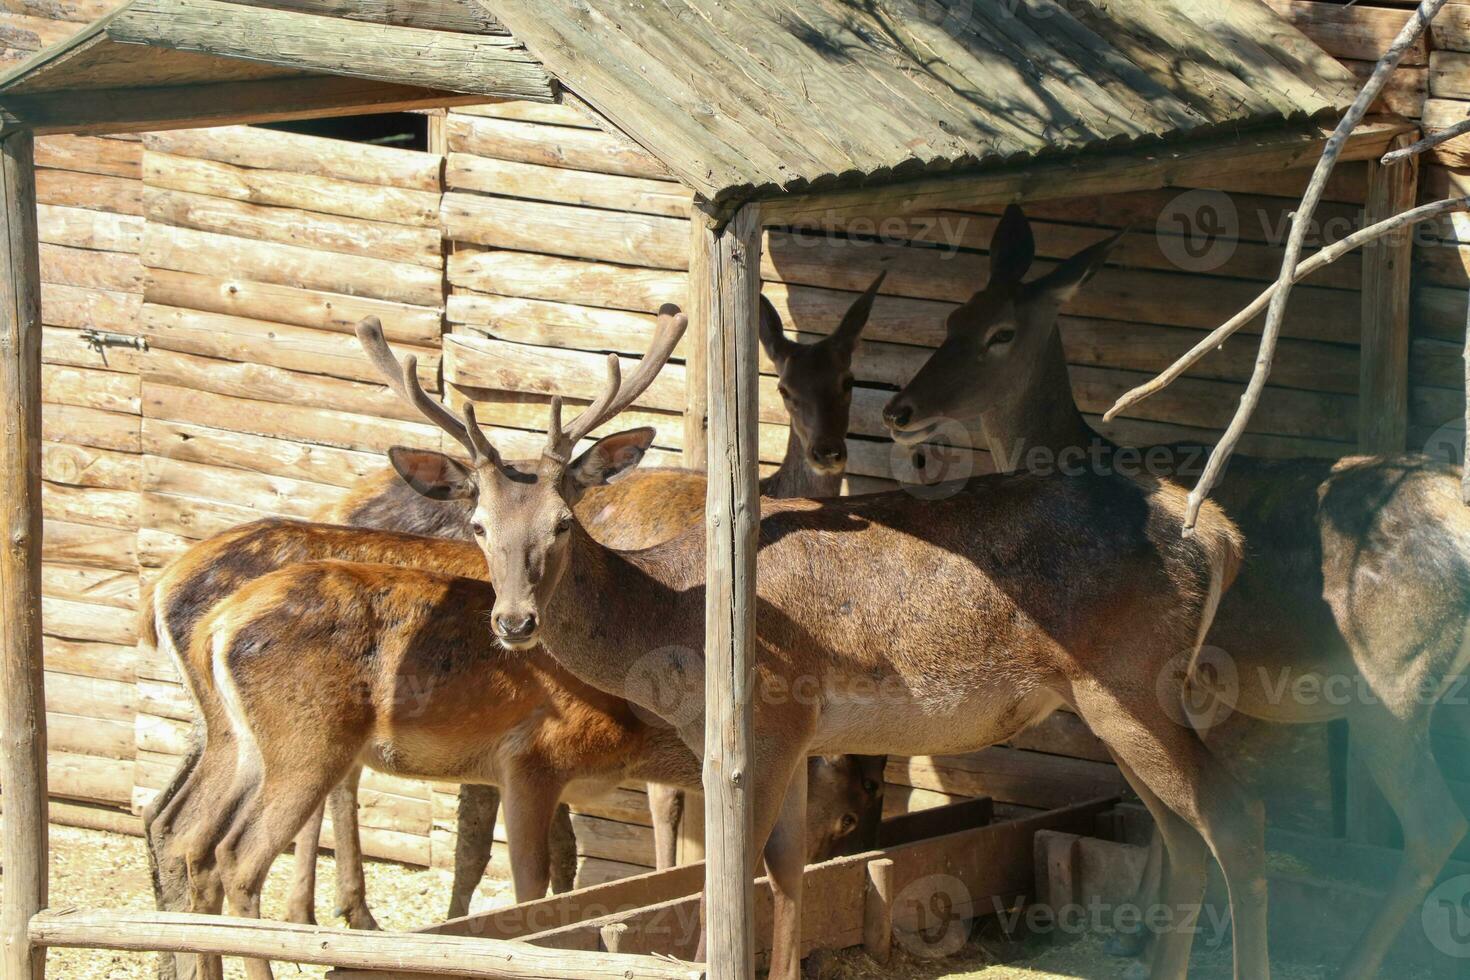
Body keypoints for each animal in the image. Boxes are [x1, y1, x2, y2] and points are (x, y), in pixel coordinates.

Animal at [283, 274, 882, 928]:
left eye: (850, 381)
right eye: (784, 388)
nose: (831, 451)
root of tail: (336, 502)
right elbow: (667, 802)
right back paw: (320, 910)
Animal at [367, 299, 1275, 980]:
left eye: (562, 523)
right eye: (479, 527)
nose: (514, 622)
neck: (673, 627)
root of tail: (1223, 535)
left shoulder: (764, 723)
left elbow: (730, 881)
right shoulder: (801, 736)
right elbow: (791, 872)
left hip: (1133, 679)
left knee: (1236, 821)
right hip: (1110, 700)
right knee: (1181, 840)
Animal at [876, 201, 1470, 980]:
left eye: (1000, 333)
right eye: (953, 317)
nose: (899, 410)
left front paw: (1140, 937)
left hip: (1391, 681)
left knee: (1435, 823)